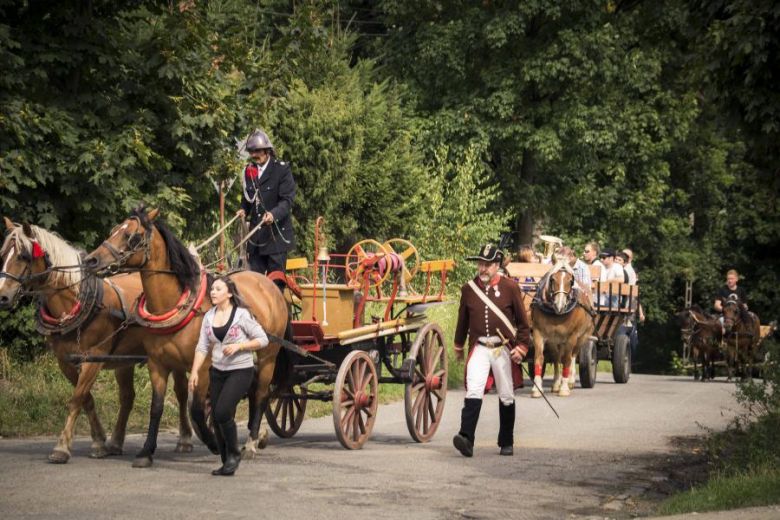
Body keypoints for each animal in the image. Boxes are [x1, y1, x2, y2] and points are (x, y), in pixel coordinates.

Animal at [0, 217, 193, 462]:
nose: (2, 296)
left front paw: (61, 447)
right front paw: (99, 441)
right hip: (124, 359)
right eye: (3, 254)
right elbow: (86, 399)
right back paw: (116, 441)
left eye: (22, 256)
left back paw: (185, 438)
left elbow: (76, 399)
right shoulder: (65, 361)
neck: (77, 299)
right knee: (127, 397)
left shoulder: (94, 358)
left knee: (181, 392)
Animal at [83, 206, 290, 468]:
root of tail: (269, 283)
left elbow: (198, 411)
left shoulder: (201, 368)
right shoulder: (157, 364)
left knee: (261, 394)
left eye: (132, 236)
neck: (175, 302)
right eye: (114, 230)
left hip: (267, 356)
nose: (90, 260)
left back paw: (252, 443)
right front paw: (146, 452)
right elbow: (157, 408)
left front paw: (213, 444)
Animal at [532, 260, 596, 398]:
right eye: (552, 279)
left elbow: (567, 359)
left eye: (570, 281)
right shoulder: (542, 334)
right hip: (558, 340)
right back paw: (558, 382)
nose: (559, 305)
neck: (557, 314)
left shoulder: (572, 336)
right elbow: (541, 358)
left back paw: (570, 380)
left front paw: (564, 388)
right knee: (559, 356)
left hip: (582, 336)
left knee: (573, 355)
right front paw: (538, 388)